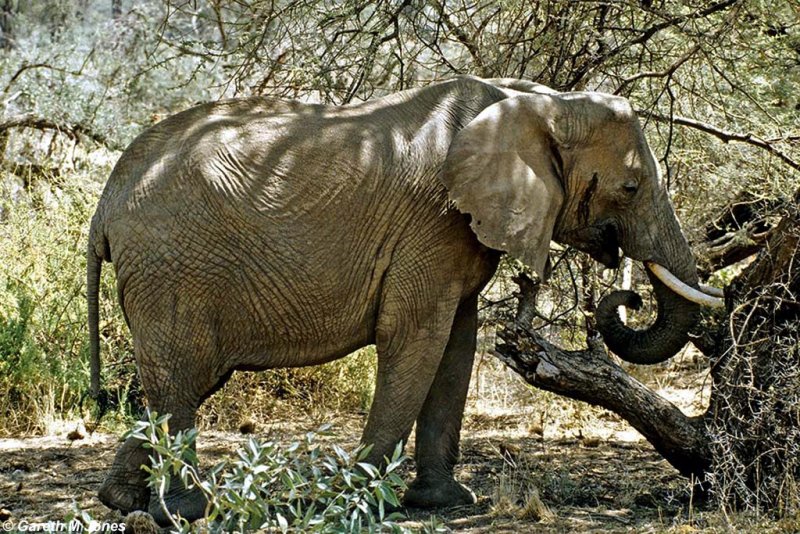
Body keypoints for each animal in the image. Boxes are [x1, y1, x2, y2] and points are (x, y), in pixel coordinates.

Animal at [87, 74, 724, 524]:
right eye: (631, 187)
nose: (626, 298)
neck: (537, 102)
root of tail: (106, 201)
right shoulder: (433, 222)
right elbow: (416, 337)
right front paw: (357, 498)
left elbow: (457, 346)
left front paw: (446, 501)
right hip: (172, 265)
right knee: (181, 377)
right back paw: (186, 510)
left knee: (178, 380)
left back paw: (124, 502)